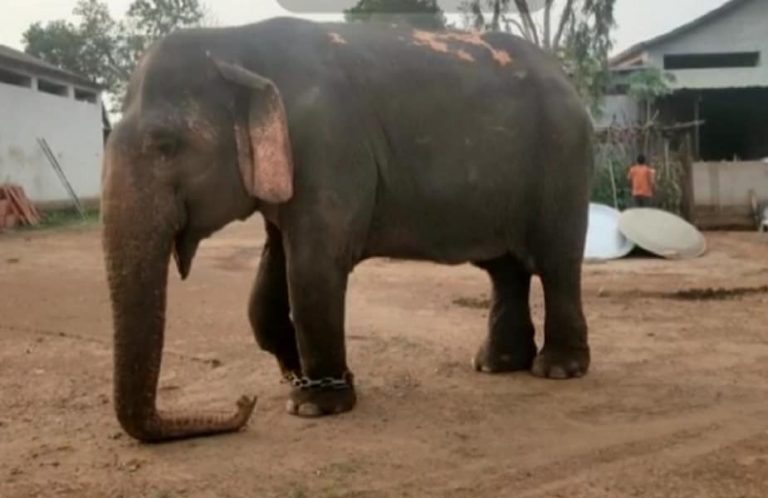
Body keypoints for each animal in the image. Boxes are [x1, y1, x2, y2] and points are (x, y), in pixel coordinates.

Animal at [102, 17, 593, 442]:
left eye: (165, 146)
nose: (244, 404)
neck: (235, 45)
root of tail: (565, 77)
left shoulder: (326, 146)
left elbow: (314, 268)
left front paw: (313, 405)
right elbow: (271, 276)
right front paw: (295, 376)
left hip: (563, 159)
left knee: (556, 263)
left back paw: (557, 370)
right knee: (505, 269)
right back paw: (497, 365)